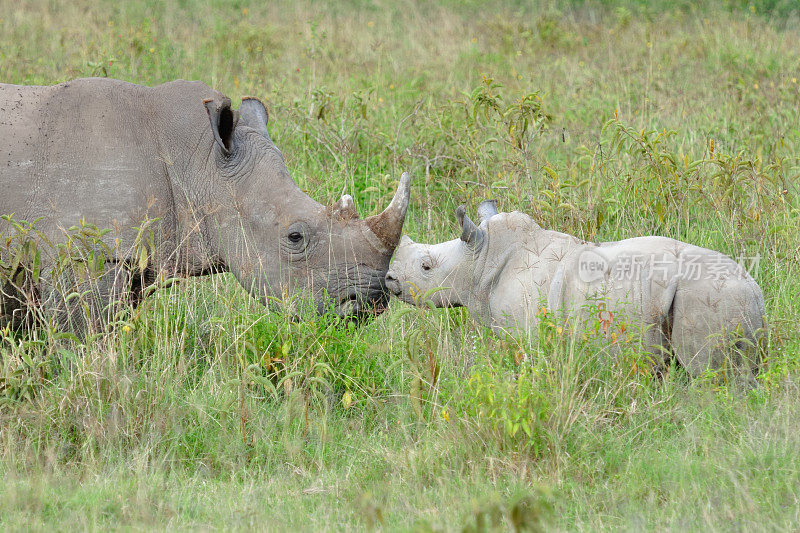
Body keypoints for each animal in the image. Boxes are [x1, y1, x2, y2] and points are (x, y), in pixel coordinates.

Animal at [384, 202, 764, 376]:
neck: (480, 261)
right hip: (729, 300)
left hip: (704, 297)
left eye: (426, 268)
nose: (389, 279)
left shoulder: (524, 334)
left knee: (707, 375)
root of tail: (755, 291)